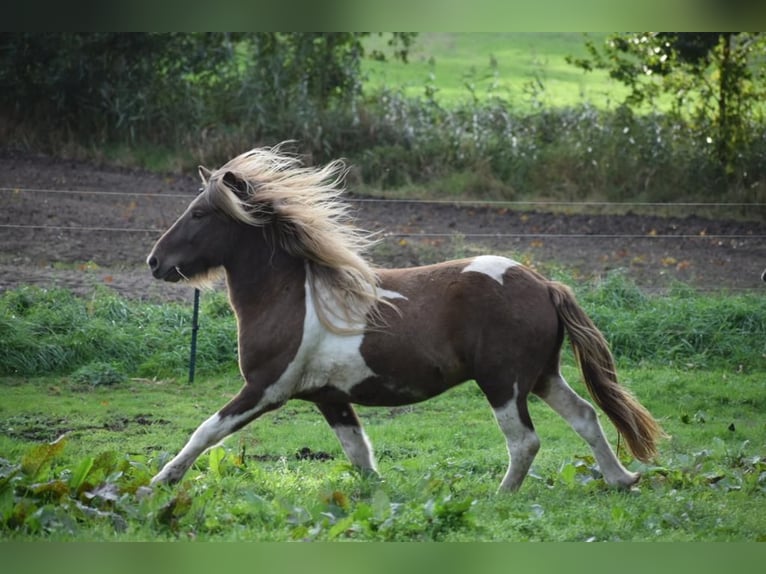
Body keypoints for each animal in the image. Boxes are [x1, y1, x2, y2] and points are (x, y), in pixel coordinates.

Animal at [146, 144, 664, 492]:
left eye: (198, 214)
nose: (154, 262)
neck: (290, 297)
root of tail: (545, 285)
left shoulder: (266, 389)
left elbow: (206, 429)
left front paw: (160, 481)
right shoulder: (328, 397)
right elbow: (358, 452)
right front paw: (377, 494)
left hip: (503, 381)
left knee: (525, 442)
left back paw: (500, 496)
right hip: (541, 376)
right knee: (585, 416)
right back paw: (623, 479)